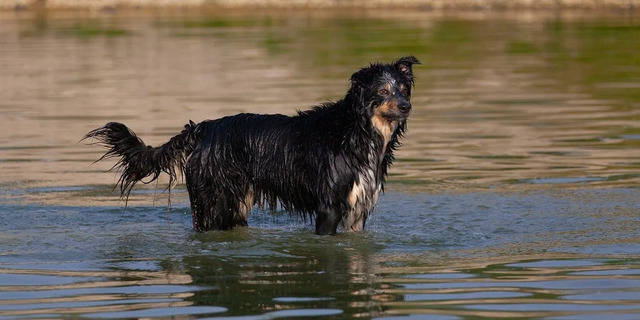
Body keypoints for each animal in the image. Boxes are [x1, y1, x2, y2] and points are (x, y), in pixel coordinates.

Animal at [85, 55, 420, 235]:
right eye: (382, 90)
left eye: (404, 89)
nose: (406, 106)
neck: (358, 131)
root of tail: (200, 129)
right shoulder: (329, 206)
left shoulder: (358, 210)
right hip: (213, 202)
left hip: (237, 202)